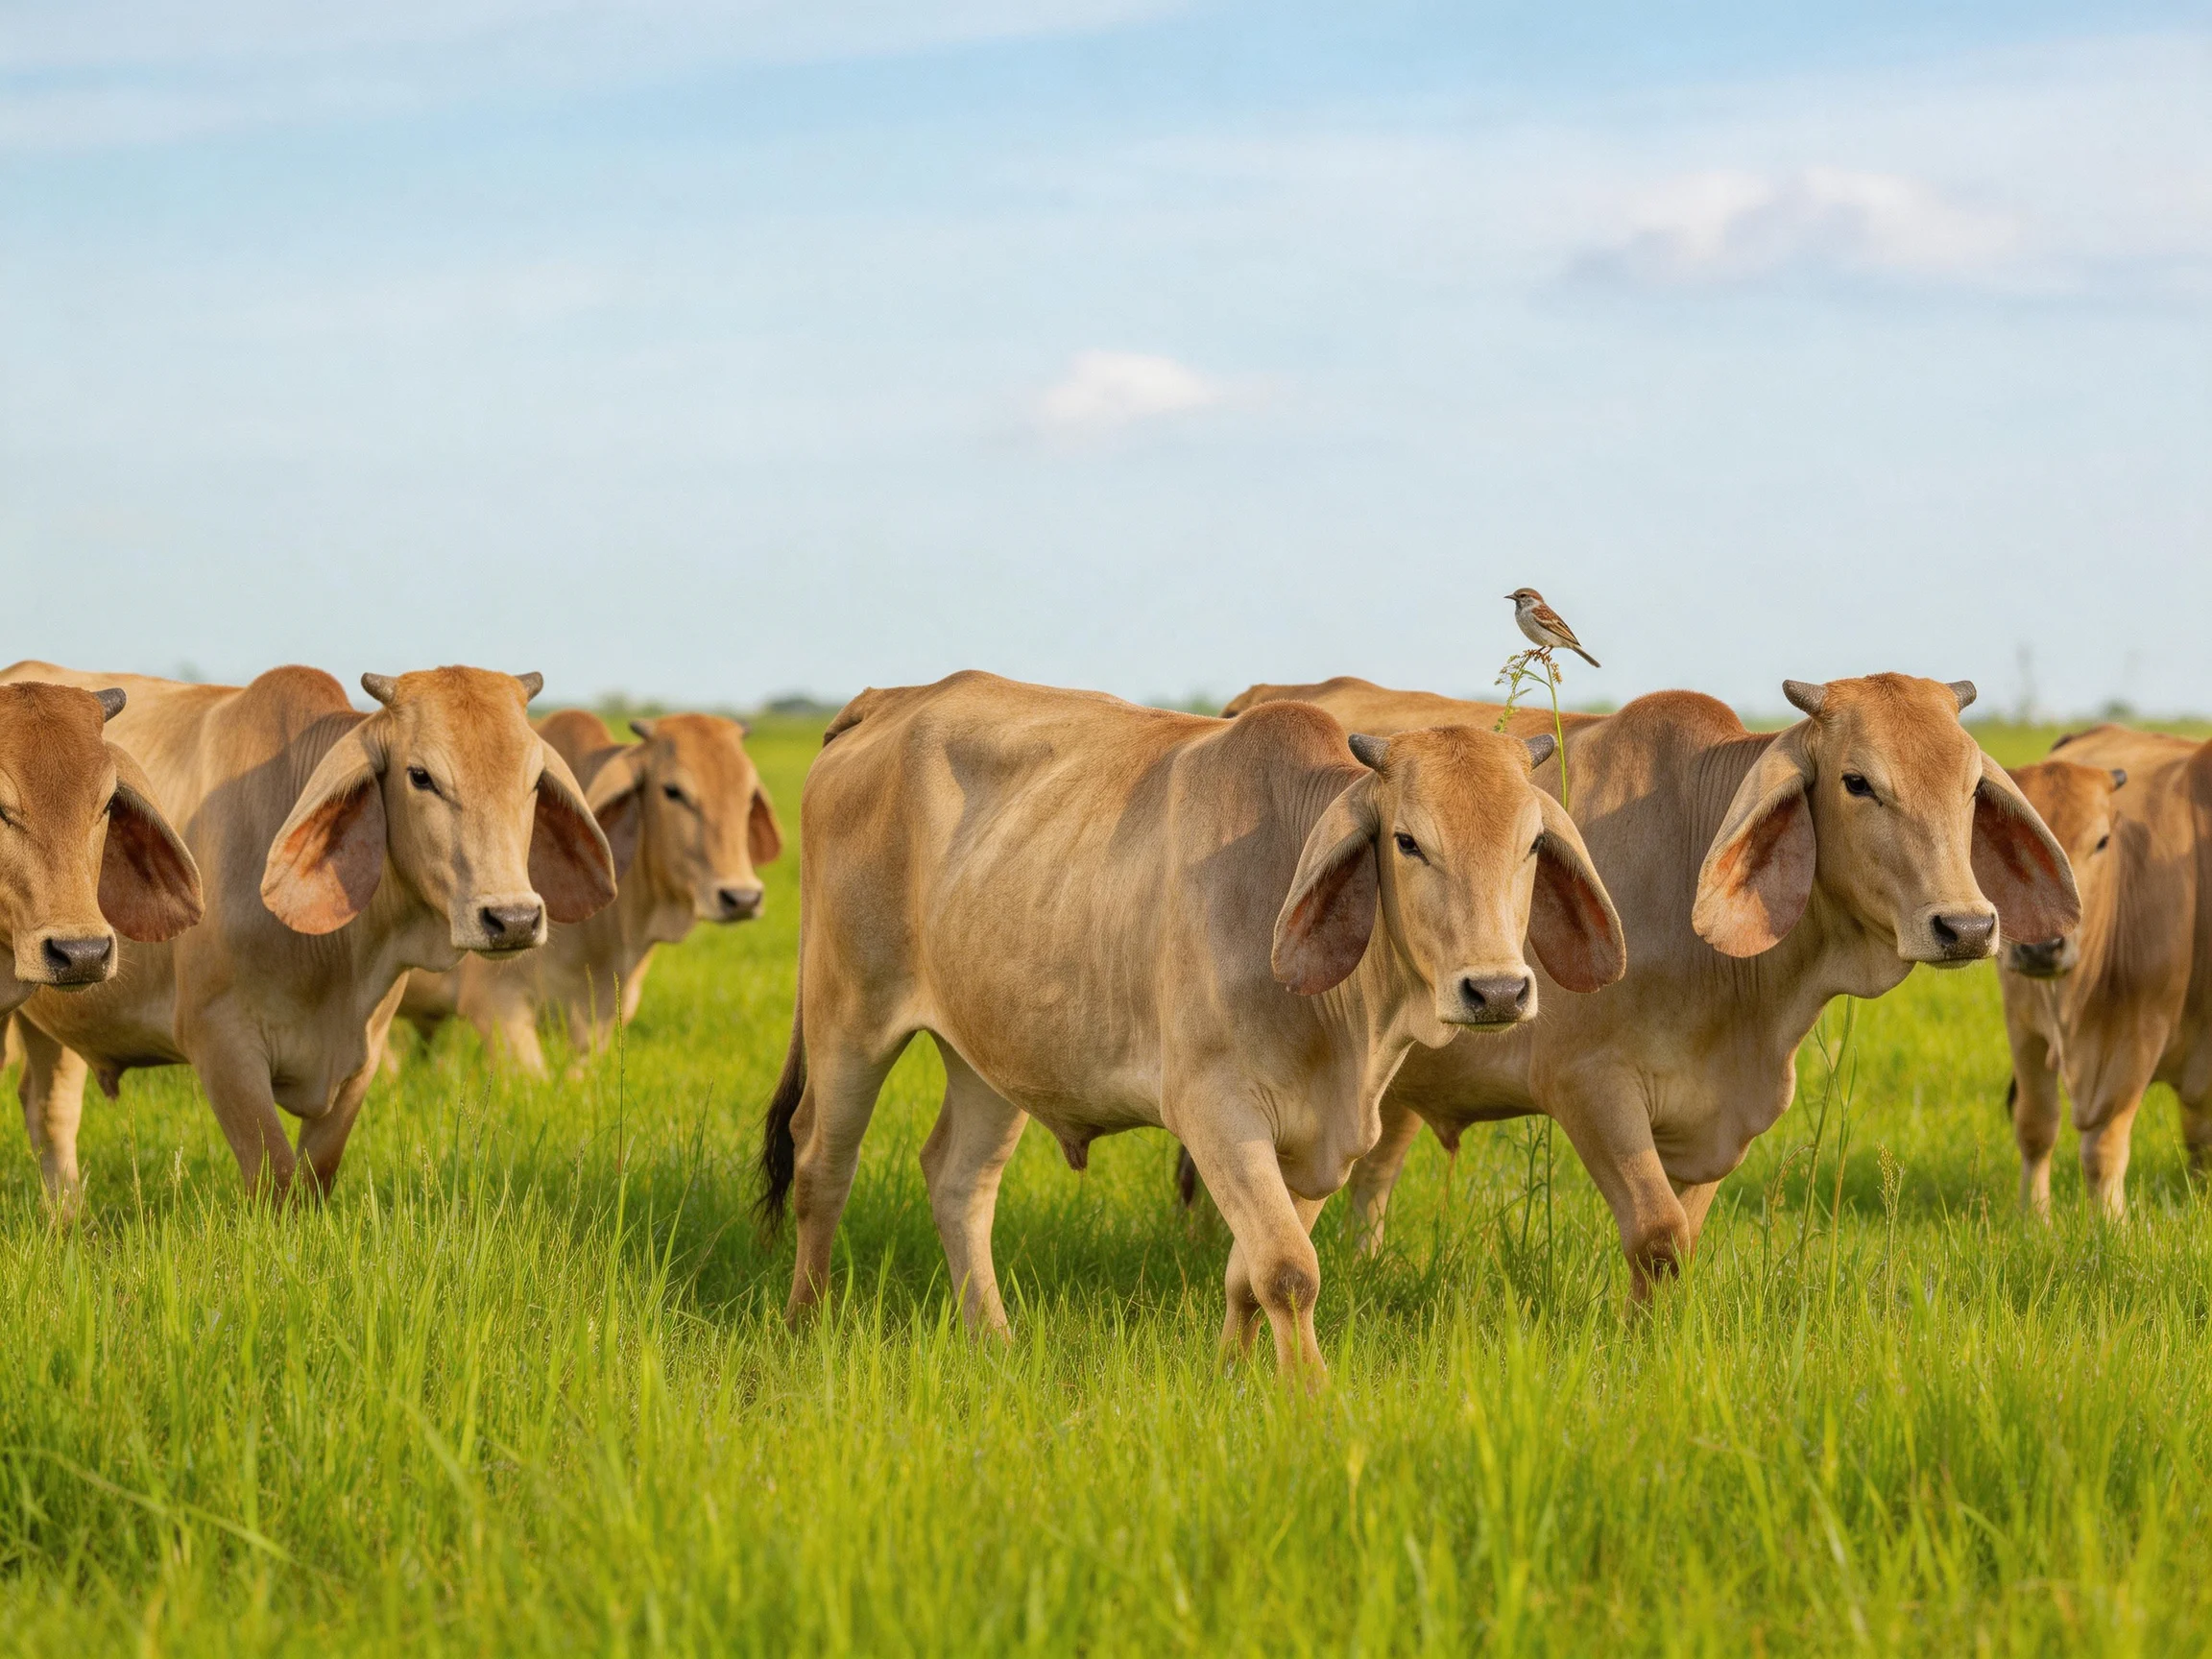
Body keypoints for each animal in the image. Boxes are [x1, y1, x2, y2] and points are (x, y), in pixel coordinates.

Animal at [0, 662, 618, 1207]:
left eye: (533, 780)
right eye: (420, 776)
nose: (513, 918)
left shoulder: (364, 1053)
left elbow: (317, 1172)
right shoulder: (220, 1041)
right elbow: (273, 1176)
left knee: (48, 1110)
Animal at [755, 672, 1625, 1377]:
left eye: (1530, 845)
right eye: (1408, 841)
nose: (1496, 990)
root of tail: (888, 701)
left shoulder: (1315, 1138)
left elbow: (1249, 1271)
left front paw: (1232, 1372)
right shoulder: (1217, 1112)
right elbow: (1288, 1270)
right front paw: (1311, 1396)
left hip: (990, 1051)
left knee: (958, 1178)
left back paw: (992, 1339)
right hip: (848, 1016)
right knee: (822, 1164)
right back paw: (804, 1325)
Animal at [1214, 674, 2079, 1295]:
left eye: (1970, 788)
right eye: (1858, 782)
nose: (1965, 927)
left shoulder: (1715, 1117)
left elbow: (1681, 1237)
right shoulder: (1590, 1085)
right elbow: (1657, 1235)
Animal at [1997, 727, 2210, 1218]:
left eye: (2101, 842)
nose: (2041, 945)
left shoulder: (2140, 1034)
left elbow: (2104, 1146)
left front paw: (2111, 1225)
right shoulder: (2022, 1024)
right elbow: (2036, 1128)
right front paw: (2034, 1220)